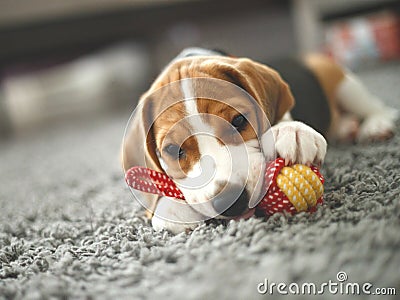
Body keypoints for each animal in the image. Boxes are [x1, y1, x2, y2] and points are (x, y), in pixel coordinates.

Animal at [123, 47, 398, 234]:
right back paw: (346, 126)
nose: (230, 203)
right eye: (172, 149)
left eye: (238, 120)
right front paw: (169, 206)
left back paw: (375, 125)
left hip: (341, 82)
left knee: (374, 106)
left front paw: (290, 130)